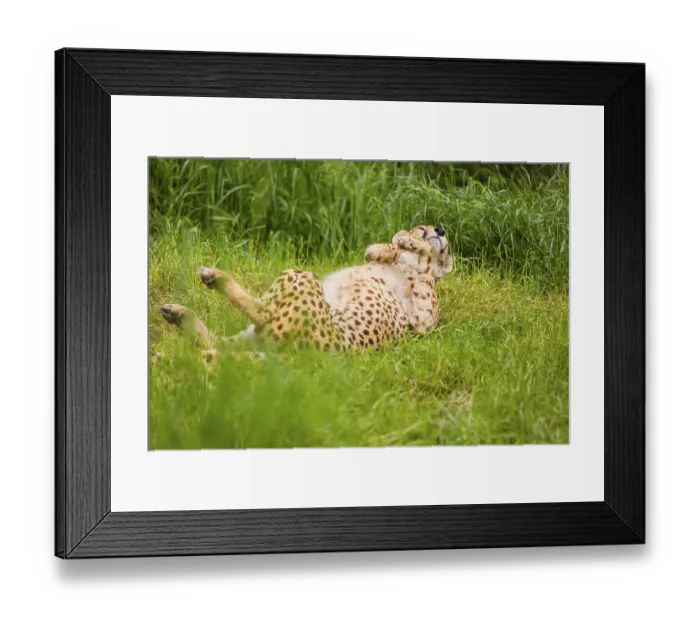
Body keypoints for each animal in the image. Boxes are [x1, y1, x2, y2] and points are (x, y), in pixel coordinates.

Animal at [158, 225, 453, 358]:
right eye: (424, 227)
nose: (440, 230)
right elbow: (387, 249)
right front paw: (392, 245)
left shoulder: (423, 320)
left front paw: (409, 243)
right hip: (253, 334)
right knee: (217, 341)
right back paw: (179, 313)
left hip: (302, 278)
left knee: (260, 312)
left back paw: (214, 278)